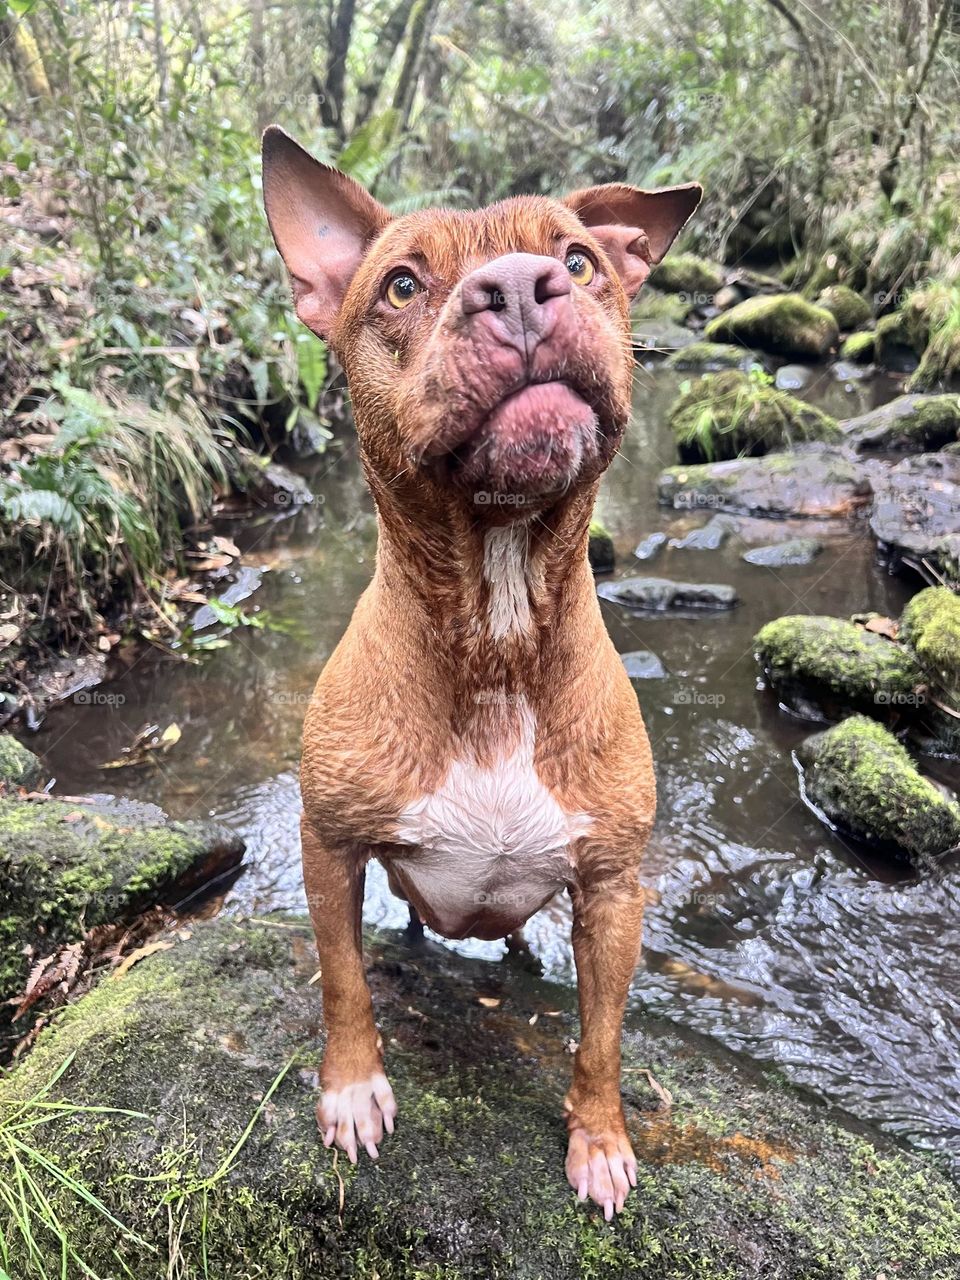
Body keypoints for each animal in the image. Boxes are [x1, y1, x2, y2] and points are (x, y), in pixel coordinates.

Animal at [267, 127, 701, 1218]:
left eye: (580, 261)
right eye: (401, 285)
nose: (517, 285)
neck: (497, 631)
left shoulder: (613, 888)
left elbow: (601, 1037)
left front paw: (599, 1138)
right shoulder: (329, 845)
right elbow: (343, 980)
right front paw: (351, 1089)